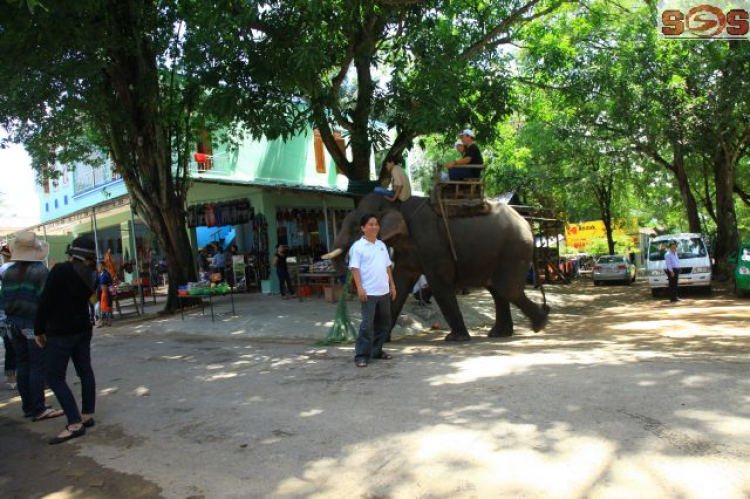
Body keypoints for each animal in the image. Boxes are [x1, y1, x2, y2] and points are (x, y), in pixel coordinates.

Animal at [324, 193, 552, 342]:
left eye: (355, 227)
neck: (397, 203)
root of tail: (528, 224)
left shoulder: (431, 243)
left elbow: (439, 283)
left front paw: (456, 338)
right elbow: (399, 283)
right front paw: (381, 339)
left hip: (514, 250)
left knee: (506, 289)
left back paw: (539, 325)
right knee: (497, 289)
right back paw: (500, 333)